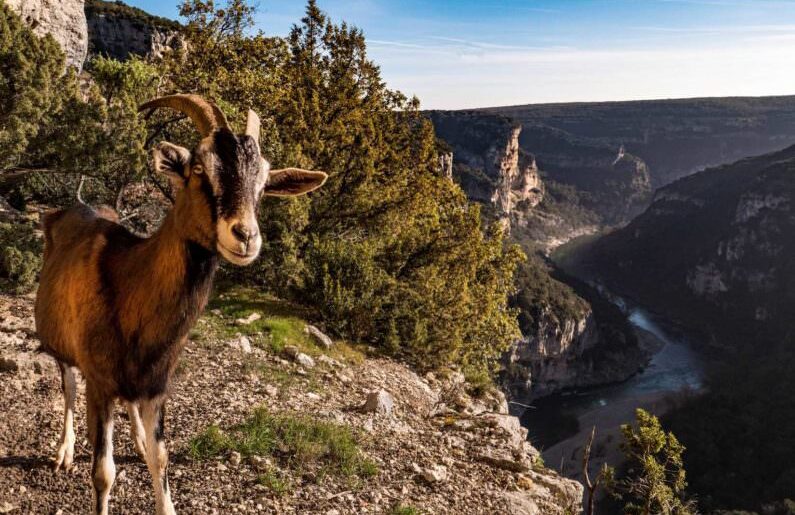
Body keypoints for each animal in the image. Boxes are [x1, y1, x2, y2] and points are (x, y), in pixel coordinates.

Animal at [34, 94, 326, 512]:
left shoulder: (157, 385)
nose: (246, 236)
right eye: (199, 168)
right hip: (61, 344)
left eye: (264, 183)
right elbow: (104, 472)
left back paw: (136, 439)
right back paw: (64, 451)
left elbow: (161, 457)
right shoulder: (101, 383)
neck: (129, 285)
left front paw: (151, 459)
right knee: (69, 387)